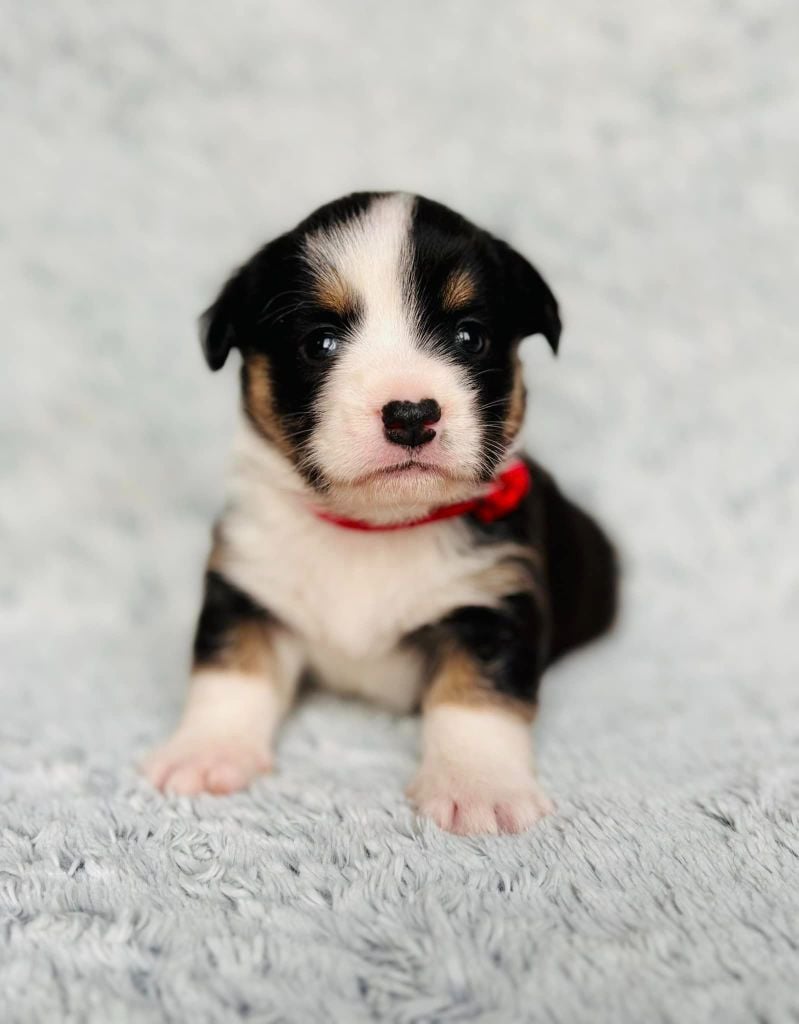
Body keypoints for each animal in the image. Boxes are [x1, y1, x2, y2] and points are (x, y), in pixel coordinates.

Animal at [142, 192, 618, 835]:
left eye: (469, 337)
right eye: (319, 343)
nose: (411, 414)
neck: (374, 528)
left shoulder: (494, 602)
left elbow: (477, 701)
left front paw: (479, 787)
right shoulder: (247, 586)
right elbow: (229, 673)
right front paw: (205, 752)